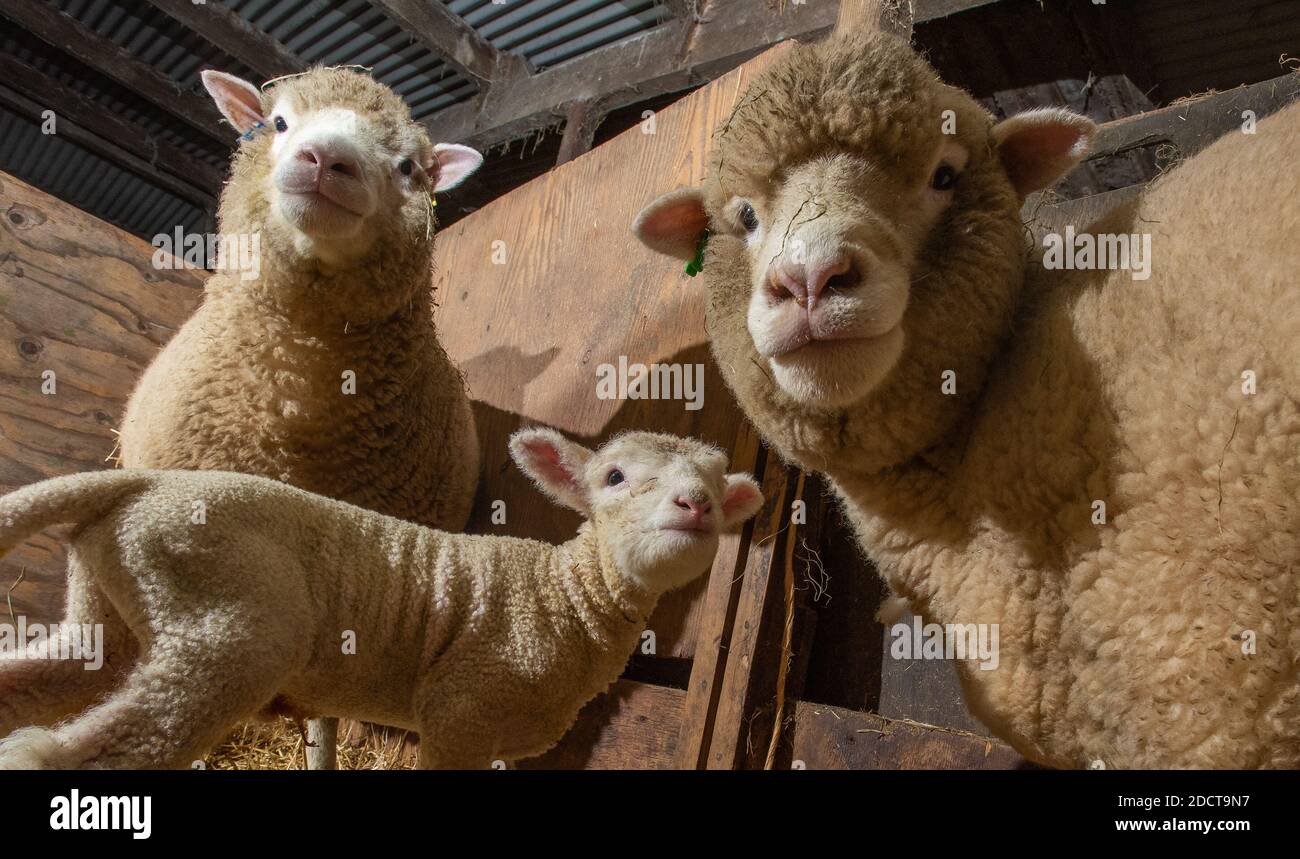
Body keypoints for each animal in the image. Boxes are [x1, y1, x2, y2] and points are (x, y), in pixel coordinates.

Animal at [0, 428, 759, 769]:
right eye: (614, 476)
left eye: (716, 487)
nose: (695, 505)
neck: (566, 594)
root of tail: (140, 484)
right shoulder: (464, 706)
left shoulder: (507, 739)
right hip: (227, 625)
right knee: (90, 748)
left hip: (110, 609)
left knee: (42, 681)